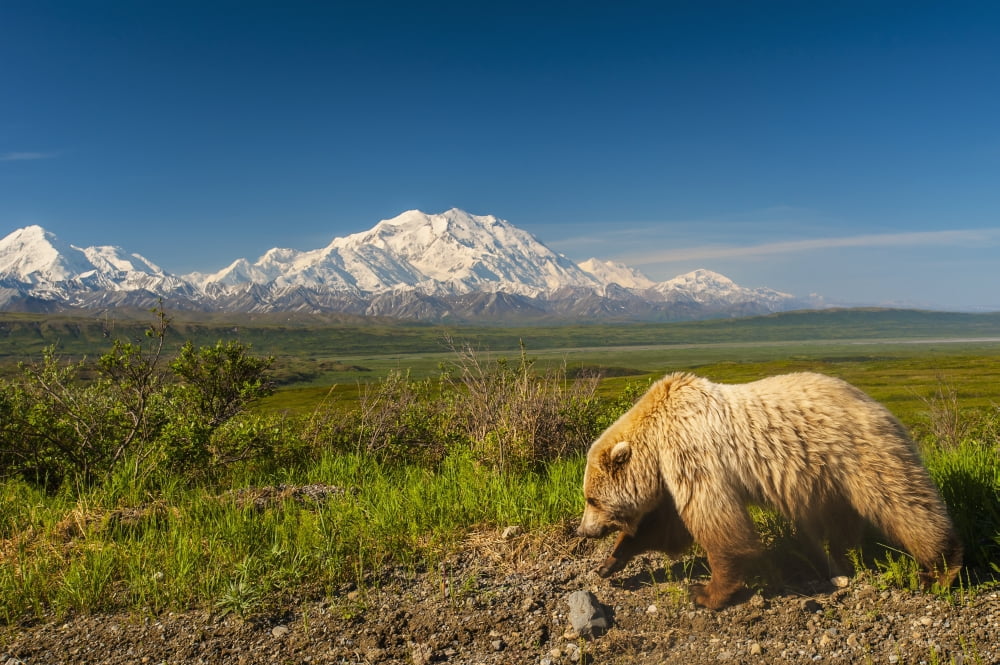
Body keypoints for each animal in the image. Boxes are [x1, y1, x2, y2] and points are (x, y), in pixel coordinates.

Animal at [577, 371, 962, 610]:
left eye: (591, 498)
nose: (584, 530)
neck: (655, 436)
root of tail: (877, 404)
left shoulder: (692, 453)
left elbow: (716, 523)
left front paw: (706, 592)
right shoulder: (674, 474)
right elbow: (666, 528)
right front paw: (610, 562)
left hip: (859, 453)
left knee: (904, 502)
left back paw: (940, 569)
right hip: (829, 480)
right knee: (841, 521)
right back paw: (839, 560)